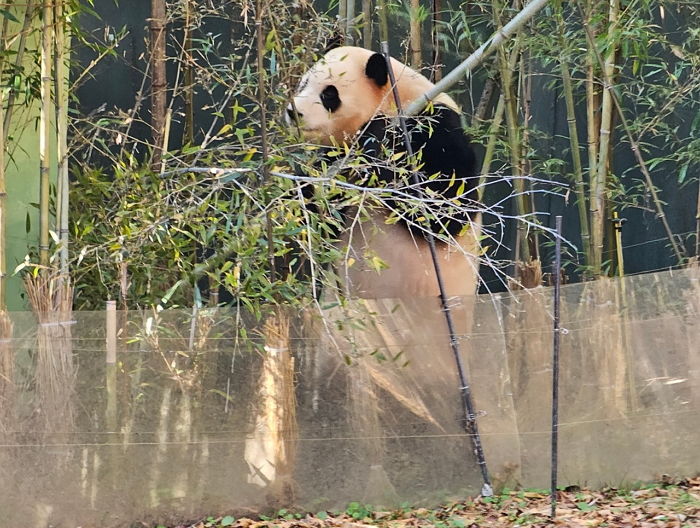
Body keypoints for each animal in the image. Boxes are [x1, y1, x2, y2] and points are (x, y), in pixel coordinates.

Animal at [288, 46, 478, 300]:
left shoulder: (435, 124)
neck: (395, 100)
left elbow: (445, 210)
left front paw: (373, 133)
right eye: (303, 84)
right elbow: (320, 222)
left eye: (329, 94)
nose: (293, 112)